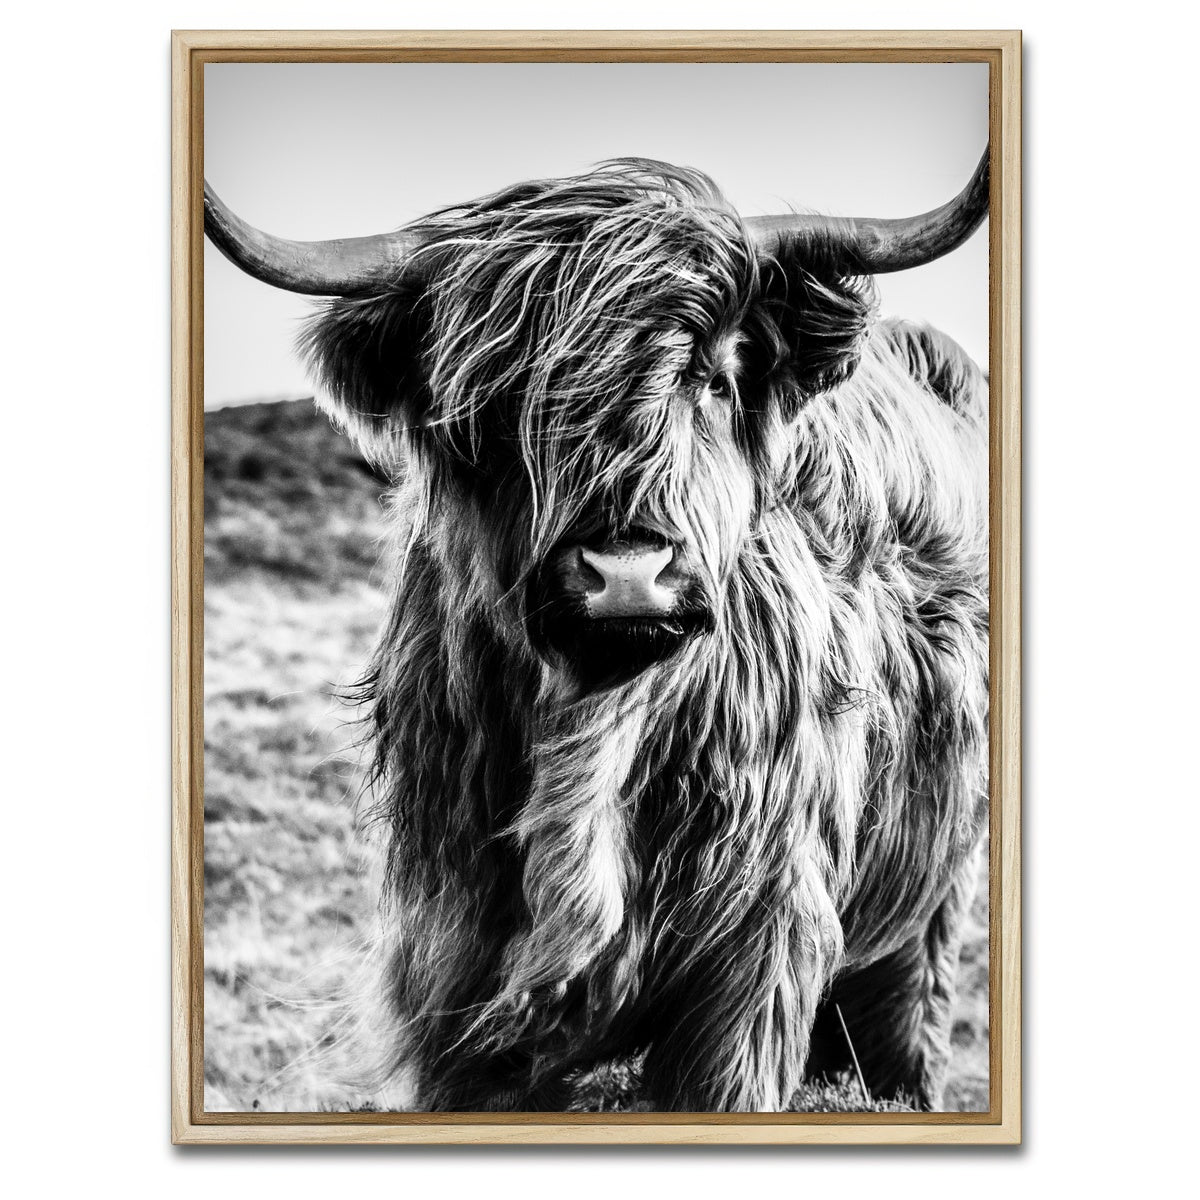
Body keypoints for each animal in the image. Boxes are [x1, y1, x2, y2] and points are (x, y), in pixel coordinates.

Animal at [205, 147, 991, 1112]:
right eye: (500, 403)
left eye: (711, 377)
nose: (626, 574)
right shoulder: (453, 970)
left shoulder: (755, 959)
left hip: (931, 909)